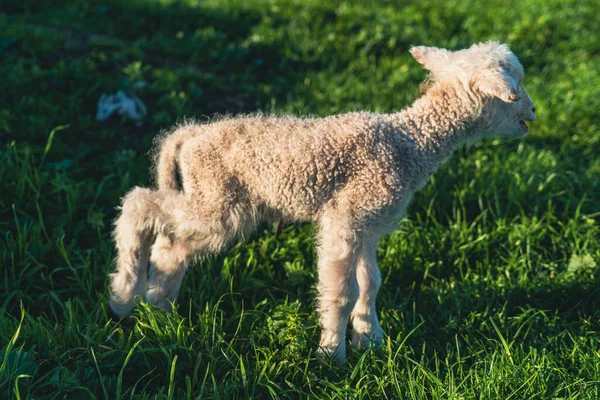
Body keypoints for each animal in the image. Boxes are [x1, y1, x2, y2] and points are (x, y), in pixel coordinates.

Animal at [109, 42, 540, 364]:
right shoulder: (345, 219)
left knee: (171, 246)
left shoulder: (369, 223)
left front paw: (371, 339)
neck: (409, 143)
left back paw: (159, 307)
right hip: (218, 202)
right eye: (515, 86)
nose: (534, 112)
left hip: (211, 199)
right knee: (138, 206)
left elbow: (371, 282)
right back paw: (124, 297)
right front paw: (332, 354)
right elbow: (342, 290)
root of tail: (189, 134)